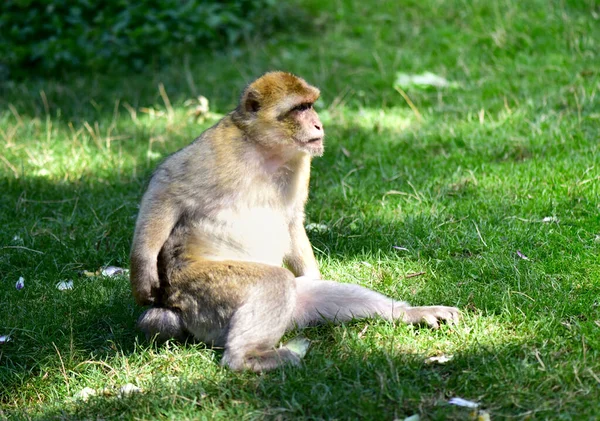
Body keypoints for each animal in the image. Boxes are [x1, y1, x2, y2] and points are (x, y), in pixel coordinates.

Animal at [130, 72, 460, 370]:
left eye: (310, 105)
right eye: (300, 108)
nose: (318, 124)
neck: (265, 150)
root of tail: (176, 310)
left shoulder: (302, 161)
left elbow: (292, 220)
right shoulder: (218, 147)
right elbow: (167, 185)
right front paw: (143, 273)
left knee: (308, 292)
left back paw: (409, 313)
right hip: (199, 294)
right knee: (273, 281)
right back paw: (246, 358)